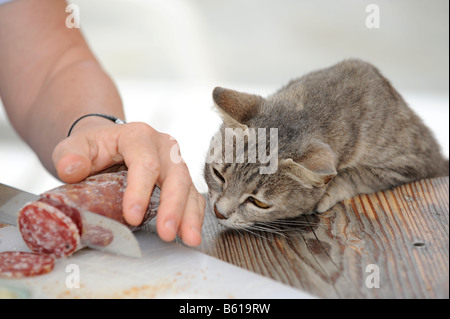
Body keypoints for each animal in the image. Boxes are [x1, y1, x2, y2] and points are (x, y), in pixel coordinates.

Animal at [205, 59, 450, 230]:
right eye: (218, 175)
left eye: (259, 203)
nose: (219, 212)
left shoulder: (412, 162)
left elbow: (356, 173)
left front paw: (326, 193)